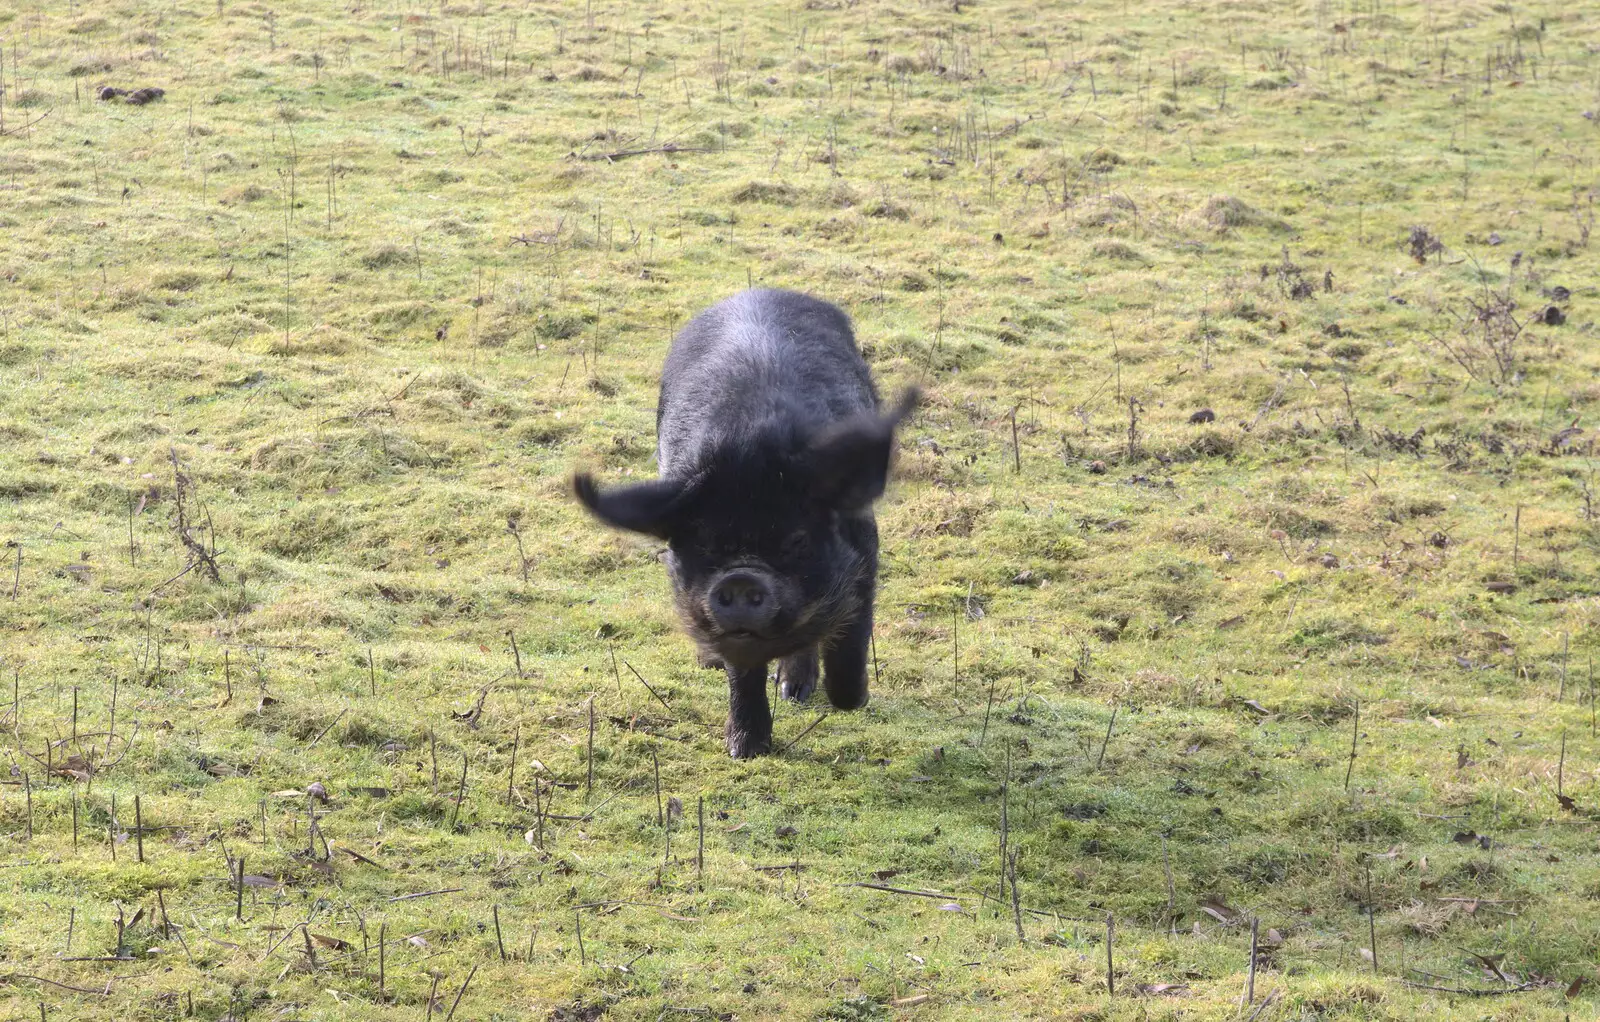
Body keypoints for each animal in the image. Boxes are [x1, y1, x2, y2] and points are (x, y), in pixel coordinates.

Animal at [579, 287, 921, 761]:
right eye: (705, 543)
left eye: (796, 539)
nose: (741, 577)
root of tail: (757, 291)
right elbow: (742, 672)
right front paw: (746, 750)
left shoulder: (865, 554)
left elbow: (850, 636)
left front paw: (850, 700)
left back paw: (796, 692)